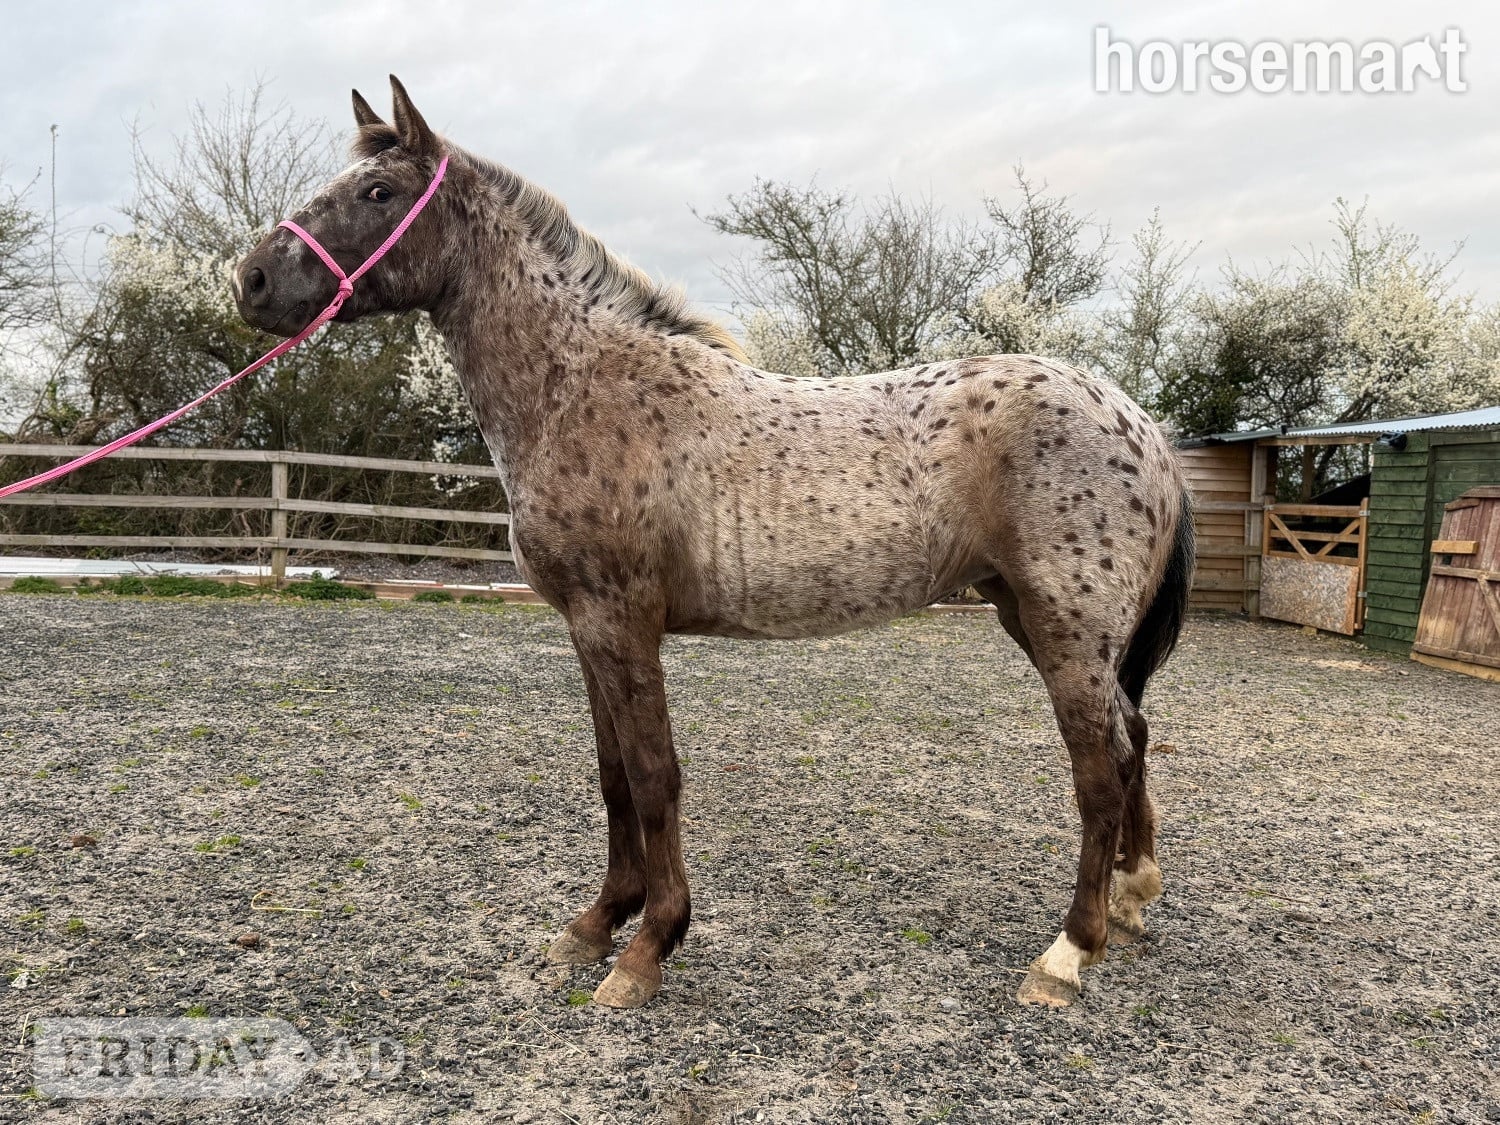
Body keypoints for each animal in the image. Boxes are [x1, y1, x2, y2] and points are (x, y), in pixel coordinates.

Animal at [233, 77, 1195, 1010]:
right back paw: (1132, 897)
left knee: (1101, 769)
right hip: (1032, 619)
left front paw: (647, 948)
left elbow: (655, 776)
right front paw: (594, 924)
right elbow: (613, 776)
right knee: (1136, 736)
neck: (582, 386)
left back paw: (1068, 952)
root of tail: (1142, 426)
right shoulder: (586, 629)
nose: (251, 279)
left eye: (379, 191)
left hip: (1066, 632)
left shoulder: (622, 623)